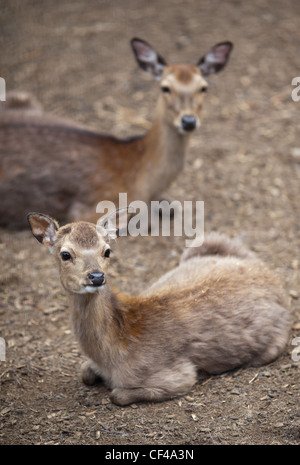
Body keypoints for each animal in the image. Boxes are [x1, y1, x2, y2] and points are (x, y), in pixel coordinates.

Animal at [27, 212, 290, 404]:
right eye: (65, 254)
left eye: (107, 250)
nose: (96, 276)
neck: (112, 355)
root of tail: (270, 275)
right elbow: (85, 373)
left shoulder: (178, 375)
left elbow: (118, 395)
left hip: (275, 346)